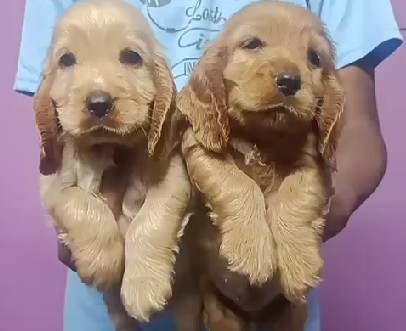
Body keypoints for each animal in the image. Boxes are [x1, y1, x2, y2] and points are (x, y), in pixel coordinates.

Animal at [32, 0, 191, 330]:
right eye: (67, 60)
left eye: (131, 57)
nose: (99, 103)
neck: (110, 148)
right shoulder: (52, 185)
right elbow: (81, 203)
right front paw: (103, 261)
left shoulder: (174, 177)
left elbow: (151, 221)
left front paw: (144, 286)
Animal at [178, 1, 342, 330]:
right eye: (252, 44)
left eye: (314, 58)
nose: (290, 81)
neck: (263, 137)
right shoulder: (201, 148)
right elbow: (237, 184)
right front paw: (251, 250)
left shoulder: (314, 165)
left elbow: (295, 198)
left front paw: (300, 264)